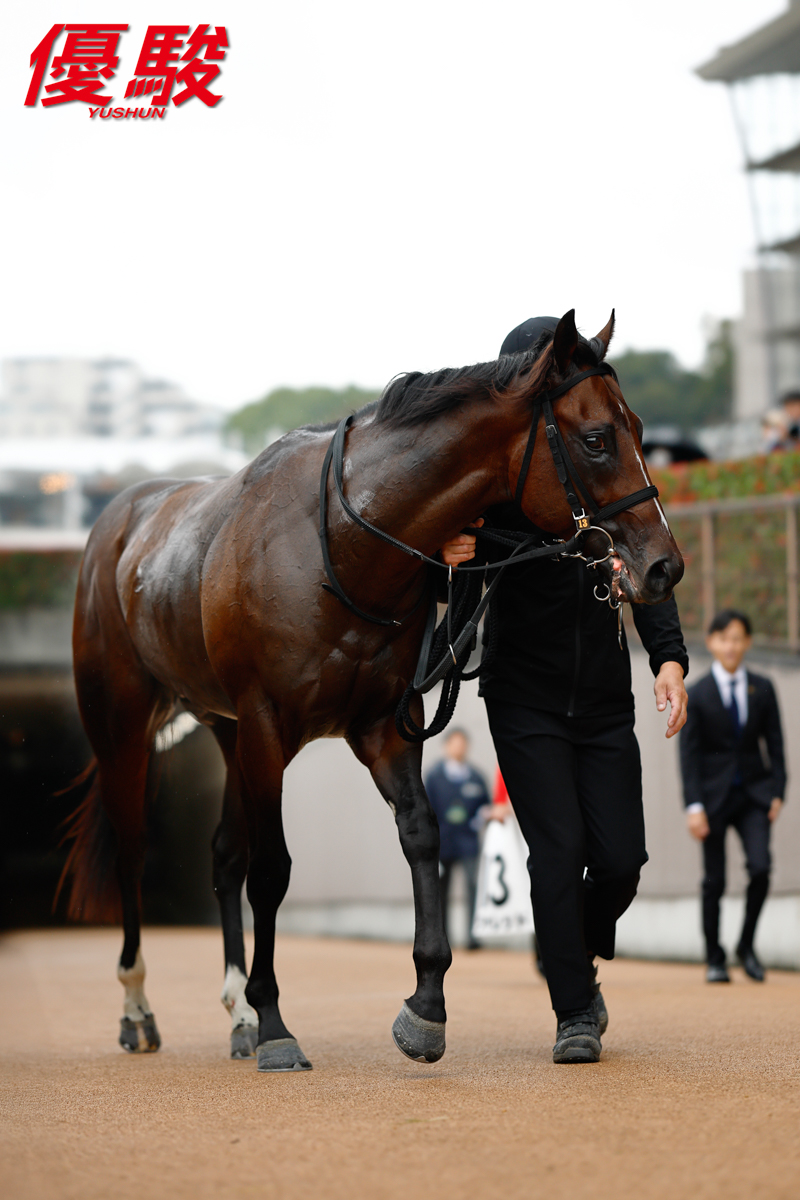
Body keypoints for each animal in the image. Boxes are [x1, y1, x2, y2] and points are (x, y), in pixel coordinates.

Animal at [62, 309, 683, 1070]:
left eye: (641, 428)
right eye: (597, 439)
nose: (664, 566)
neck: (339, 545)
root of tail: (117, 521)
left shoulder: (383, 724)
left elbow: (421, 838)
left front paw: (425, 1008)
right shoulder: (268, 724)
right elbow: (274, 869)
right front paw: (277, 1025)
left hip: (225, 729)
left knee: (223, 855)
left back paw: (236, 1013)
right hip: (123, 725)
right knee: (132, 850)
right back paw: (140, 1008)